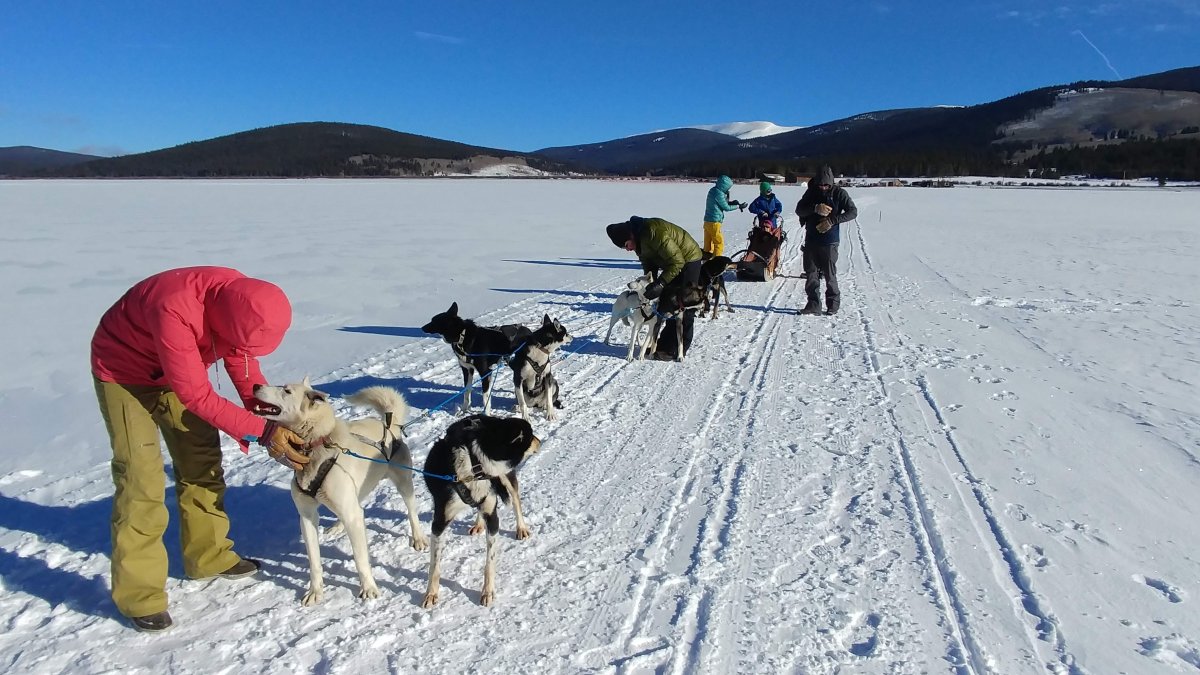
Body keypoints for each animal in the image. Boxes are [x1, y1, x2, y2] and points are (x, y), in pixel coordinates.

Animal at [248, 379, 427, 605]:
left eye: (286, 391)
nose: (255, 385)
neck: (315, 449)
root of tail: (389, 425)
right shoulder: (307, 517)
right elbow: (314, 561)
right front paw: (315, 591)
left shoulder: (353, 517)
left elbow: (360, 559)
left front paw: (368, 588)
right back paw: (337, 526)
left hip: (403, 484)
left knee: (412, 512)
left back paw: (418, 538)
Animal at [417, 413, 540, 607]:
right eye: (531, 435)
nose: (540, 441)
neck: (475, 464)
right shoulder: (439, 523)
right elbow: (434, 565)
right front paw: (431, 594)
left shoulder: (493, 518)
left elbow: (489, 562)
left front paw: (487, 592)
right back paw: (478, 524)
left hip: (507, 478)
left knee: (516, 501)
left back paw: (521, 528)